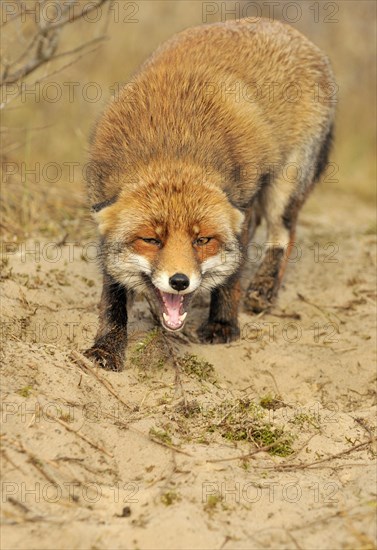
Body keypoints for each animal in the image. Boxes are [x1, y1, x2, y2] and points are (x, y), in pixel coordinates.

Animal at [86, 18, 334, 370]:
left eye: (202, 240)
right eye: (151, 240)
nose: (179, 281)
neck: (171, 147)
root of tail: (282, 26)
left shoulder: (240, 204)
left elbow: (231, 277)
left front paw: (222, 324)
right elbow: (113, 297)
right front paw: (107, 346)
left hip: (284, 185)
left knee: (283, 234)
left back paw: (262, 290)